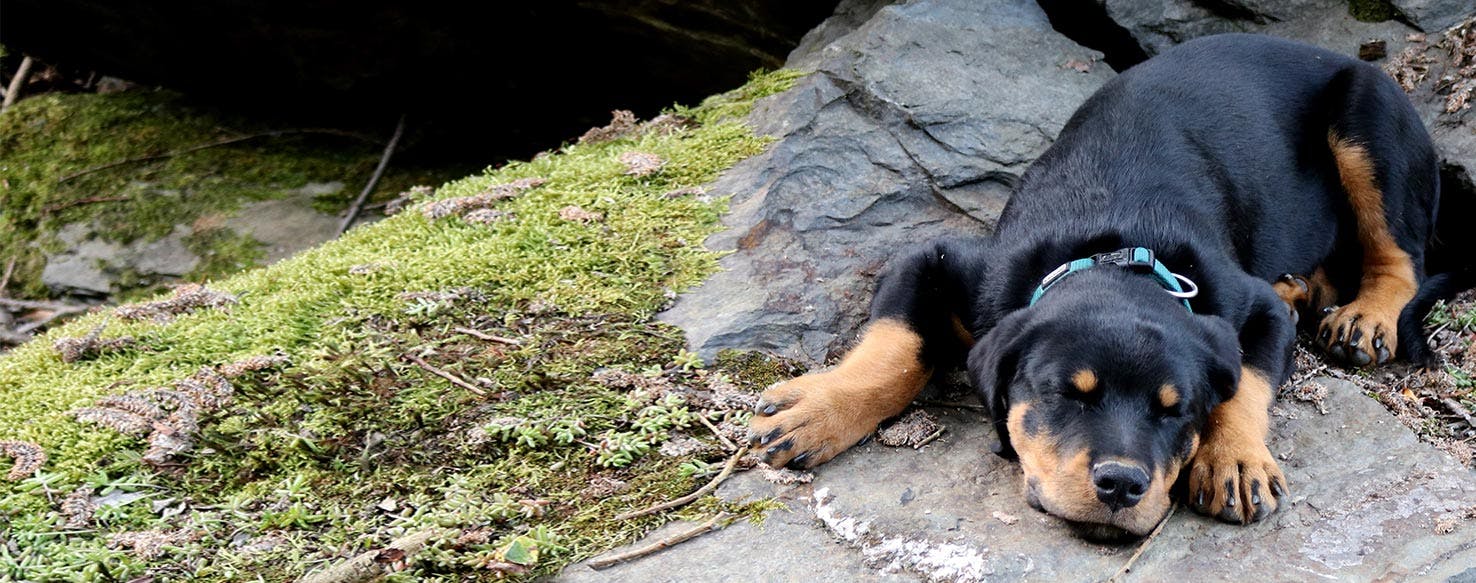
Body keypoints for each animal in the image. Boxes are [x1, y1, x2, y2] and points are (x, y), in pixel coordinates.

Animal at [749, 34, 1476, 540]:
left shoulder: (1251, 306)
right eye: (1065, 394)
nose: (1122, 485)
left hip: (1367, 117)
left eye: (1176, 410)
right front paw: (815, 409)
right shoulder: (942, 260)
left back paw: (1364, 316)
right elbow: (895, 342)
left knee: (1401, 256)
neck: (1114, 248)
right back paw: (1308, 288)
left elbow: (1247, 382)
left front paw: (1234, 458)